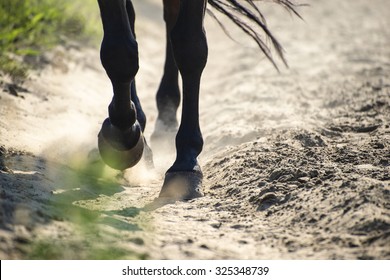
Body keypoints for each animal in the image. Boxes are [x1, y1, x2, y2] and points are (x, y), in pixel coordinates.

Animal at [96, 0, 300, 201]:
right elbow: (119, 50)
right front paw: (123, 136)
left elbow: (189, 45)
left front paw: (186, 162)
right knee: (136, 19)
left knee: (170, 17)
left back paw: (166, 114)